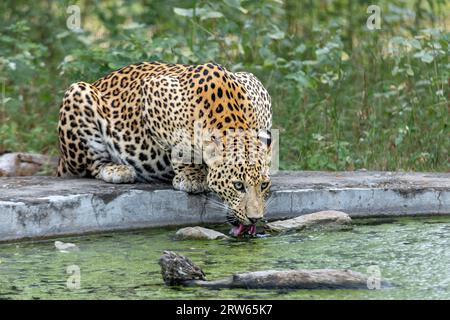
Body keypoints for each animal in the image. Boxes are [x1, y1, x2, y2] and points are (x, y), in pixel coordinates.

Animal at [57, 62, 272, 238]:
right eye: (238, 186)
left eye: (263, 185)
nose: (255, 218)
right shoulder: (153, 89)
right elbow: (179, 145)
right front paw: (192, 176)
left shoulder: (258, 89)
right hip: (77, 94)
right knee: (92, 165)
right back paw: (117, 170)